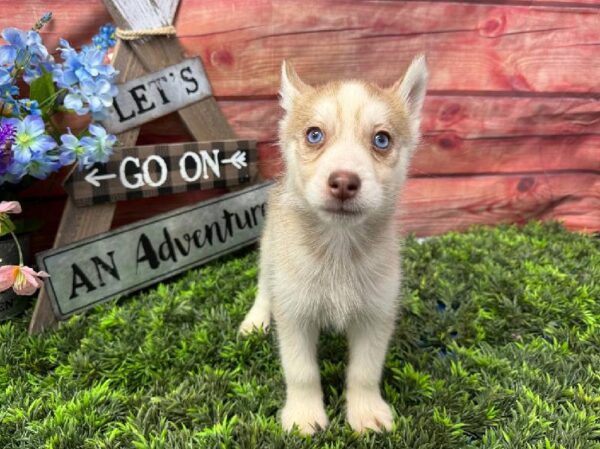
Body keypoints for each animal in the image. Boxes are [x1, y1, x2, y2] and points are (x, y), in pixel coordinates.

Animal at [239, 57, 426, 434]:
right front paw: (303, 415)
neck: (338, 246)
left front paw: (366, 411)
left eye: (381, 139)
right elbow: (302, 372)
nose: (343, 182)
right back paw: (255, 320)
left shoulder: (376, 315)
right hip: (269, 253)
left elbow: (365, 372)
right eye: (315, 135)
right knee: (264, 287)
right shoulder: (294, 314)